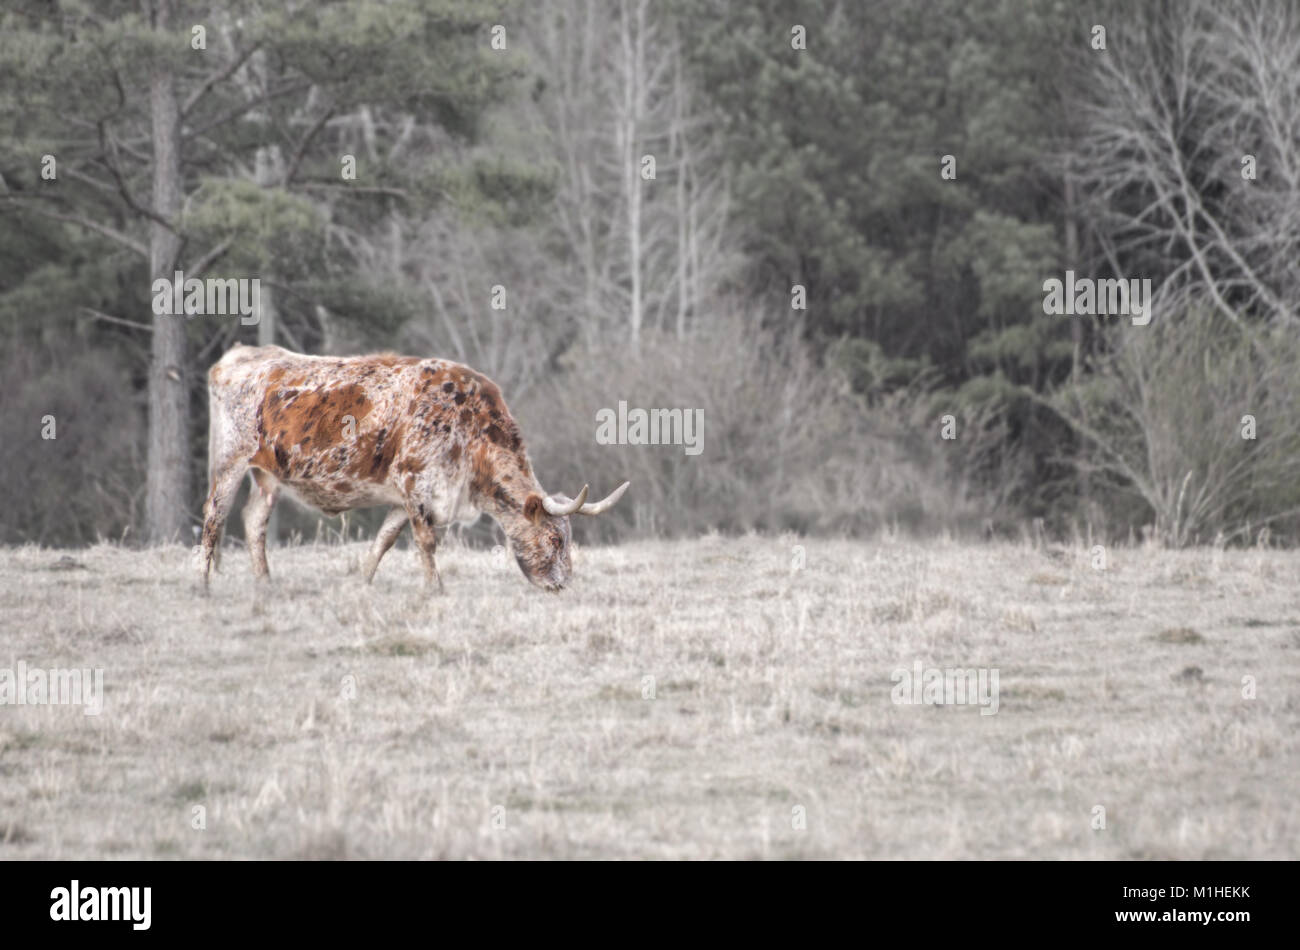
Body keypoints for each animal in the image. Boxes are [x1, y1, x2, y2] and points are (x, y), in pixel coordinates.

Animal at [197, 343, 629, 595]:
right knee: (214, 517)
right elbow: (426, 541)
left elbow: (385, 540)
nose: (564, 584)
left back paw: (265, 582)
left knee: (254, 519)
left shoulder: (404, 496)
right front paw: (435, 587)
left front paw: (363, 582)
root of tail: (238, 354)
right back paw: (202, 583)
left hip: (267, 474)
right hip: (229, 461)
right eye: (556, 539)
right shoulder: (414, 483)